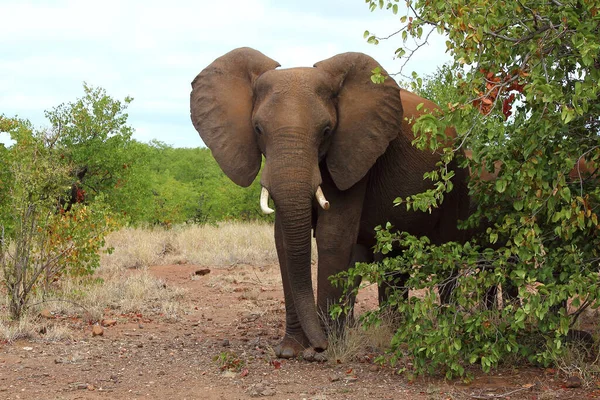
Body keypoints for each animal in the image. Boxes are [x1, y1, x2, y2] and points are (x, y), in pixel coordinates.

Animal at [190, 47, 472, 360]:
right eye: (258, 128)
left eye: (326, 130)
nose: (317, 345)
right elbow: (283, 241)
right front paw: (289, 351)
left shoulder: (353, 150)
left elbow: (333, 236)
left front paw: (322, 351)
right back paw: (394, 331)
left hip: (456, 177)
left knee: (446, 255)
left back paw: (444, 330)